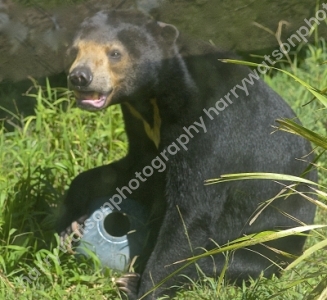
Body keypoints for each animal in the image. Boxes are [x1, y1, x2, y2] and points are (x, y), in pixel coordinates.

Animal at [57, 8, 316, 298]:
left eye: (114, 53)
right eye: (74, 50)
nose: (80, 77)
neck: (157, 97)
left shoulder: (210, 124)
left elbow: (190, 214)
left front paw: (144, 288)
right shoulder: (142, 125)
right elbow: (137, 167)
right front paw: (70, 223)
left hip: (270, 237)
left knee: (223, 260)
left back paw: (130, 281)